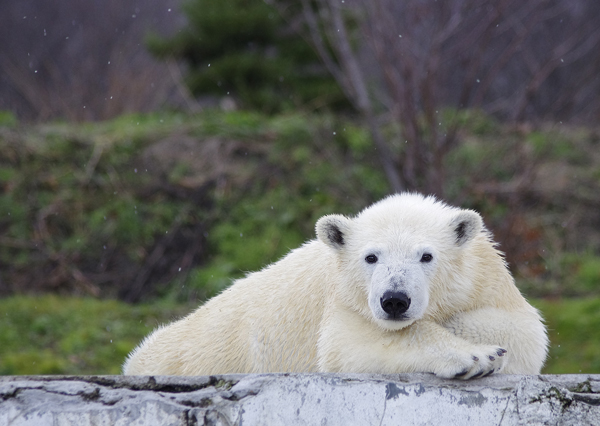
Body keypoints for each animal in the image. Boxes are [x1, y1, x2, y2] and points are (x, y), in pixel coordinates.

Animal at [123, 193, 548, 380]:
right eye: (371, 257)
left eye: (426, 256)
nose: (395, 300)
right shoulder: (343, 298)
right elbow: (350, 345)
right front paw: (476, 356)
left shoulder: (487, 278)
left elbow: (524, 331)